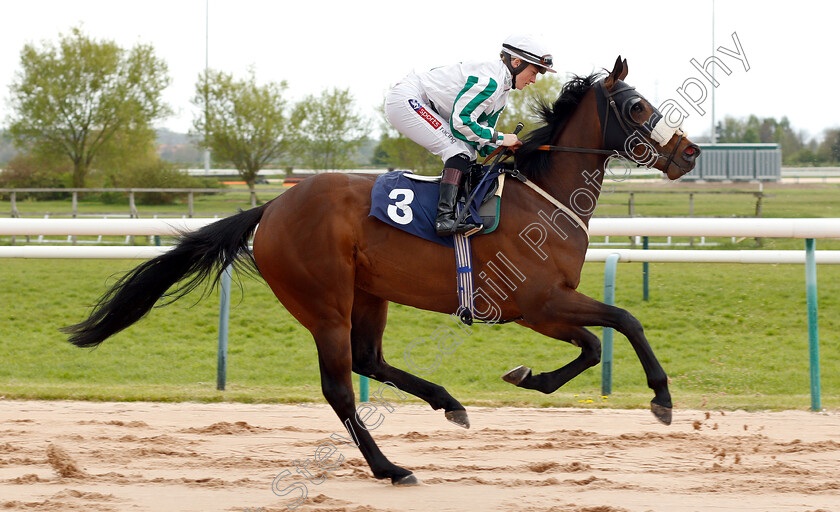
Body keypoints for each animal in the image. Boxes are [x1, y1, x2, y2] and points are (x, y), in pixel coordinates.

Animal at [60, 56, 704, 484]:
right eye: (637, 106)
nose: (690, 152)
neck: (543, 198)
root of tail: (272, 207)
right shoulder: (537, 304)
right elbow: (623, 322)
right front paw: (661, 398)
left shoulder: (546, 307)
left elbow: (597, 343)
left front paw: (528, 377)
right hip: (323, 302)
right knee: (341, 388)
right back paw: (388, 467)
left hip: (370, 293)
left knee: (370, 360)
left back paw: (448, 403)